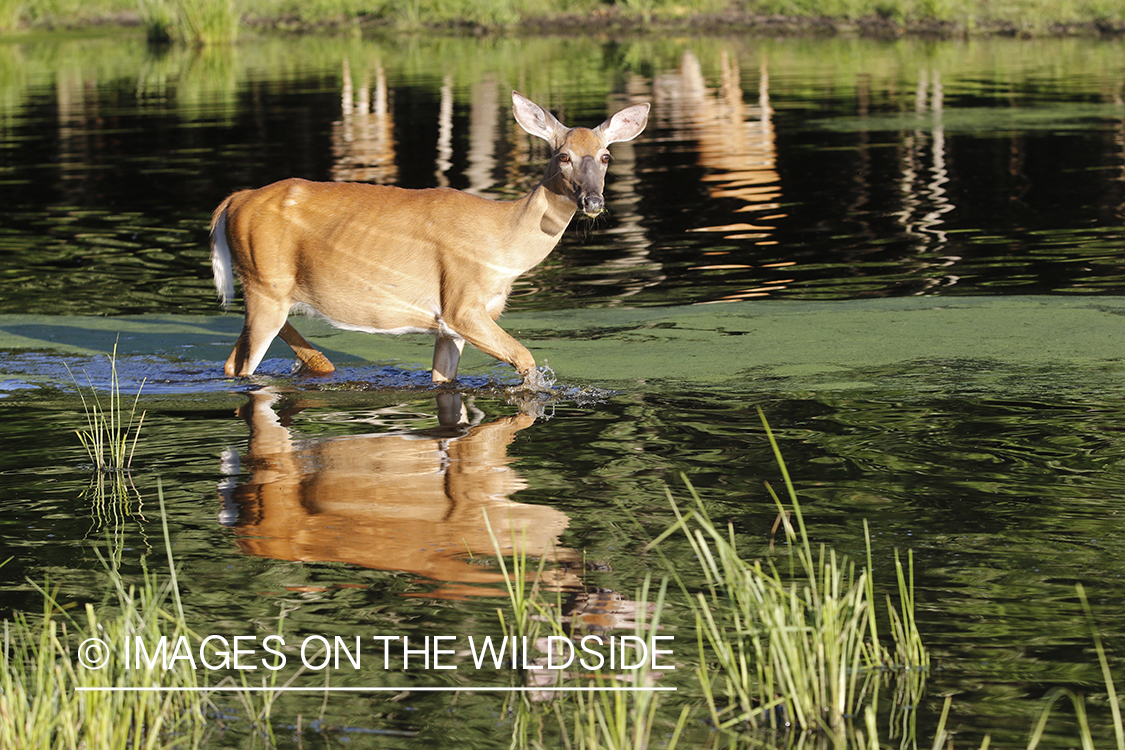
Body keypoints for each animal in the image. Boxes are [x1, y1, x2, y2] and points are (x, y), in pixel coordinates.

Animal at [211, 91, 652, 391]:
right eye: (563, 156)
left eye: (606, 156)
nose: (593, 201)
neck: (504, 242)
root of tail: (235, 200)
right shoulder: (462, 303)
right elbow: (525, 357)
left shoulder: (450, 326)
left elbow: (443, 380)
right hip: (265, 285)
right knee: (244, 366)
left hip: (268, 291)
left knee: (232, 361)